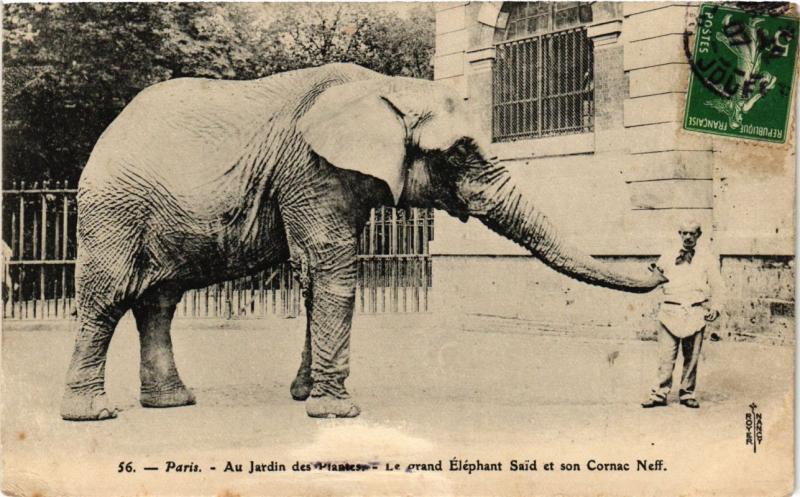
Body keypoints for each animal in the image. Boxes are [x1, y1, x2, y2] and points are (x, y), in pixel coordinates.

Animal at [60, 62, 666, 421]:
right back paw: (93, 413)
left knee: (158, 302)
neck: (384, 86)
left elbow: (316, 280)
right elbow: (333, 274)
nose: (661, 268)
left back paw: (172, 403)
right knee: (108, 295)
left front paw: (306, 397)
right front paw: (337, 413)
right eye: (460, 153)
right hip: (114, 207)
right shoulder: (311, 169)